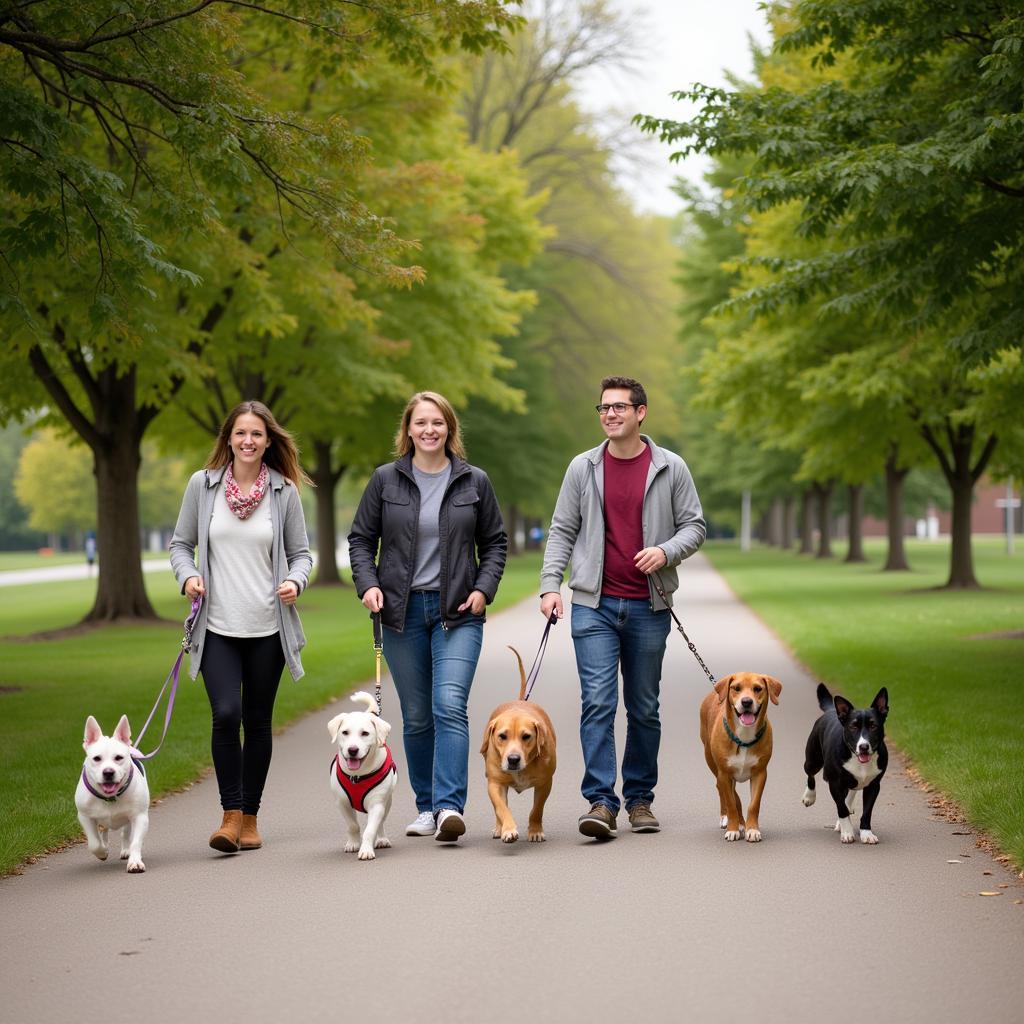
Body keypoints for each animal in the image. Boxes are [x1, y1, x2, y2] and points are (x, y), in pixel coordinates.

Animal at [74, 712, 149, 872]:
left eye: (119, 758)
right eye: (97, 758)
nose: (108, 772)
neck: (110, 797)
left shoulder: (140, 816)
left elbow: (135, 841)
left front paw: (135, 861)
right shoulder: (85, 816)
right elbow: (94, 843)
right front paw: (102, 852)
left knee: (125, 833)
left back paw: (126, 850)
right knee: (104, 830)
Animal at [327, 692, 395, 860]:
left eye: (365, 733)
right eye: (345, 732)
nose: (352, 750)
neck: (357, 777)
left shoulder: (377, 804)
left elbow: (370, 829)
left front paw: (366, 850)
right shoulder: (342, 803)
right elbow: (353, 825)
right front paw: (353, 843)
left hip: (387, 802)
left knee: (381, 822)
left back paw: (381, 839)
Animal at [481, 651, 561, 843]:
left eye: (526, 736)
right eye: (502, 736)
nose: (513, 759)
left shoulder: (545, 783)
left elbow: (537, 809)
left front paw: (535, 830)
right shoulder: (495, 784)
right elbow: (502, 808)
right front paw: (508, 829)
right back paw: (499, 827)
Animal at [700, 671, 778, 839]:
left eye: (758, 688)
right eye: (736, 688)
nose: (747, 702)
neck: (744, 736)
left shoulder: (760, 773)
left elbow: (754, 804)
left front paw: (752, 829)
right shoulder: (724, 773)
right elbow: (732, 802)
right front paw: (733, 828)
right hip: (711, 761)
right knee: (722, 790)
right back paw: (728, 818)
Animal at [798, 684, 888, 843]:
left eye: (873, 726)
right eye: (853, 727)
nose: (863, 746)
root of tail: (832, 710)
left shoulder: (873, 785)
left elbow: (867, 811)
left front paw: (866, 833)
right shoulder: (835, 783)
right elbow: (841, 808)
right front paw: (847, 832)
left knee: (851, 790)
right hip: (813, 760)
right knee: (810, 774)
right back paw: (809, 796)